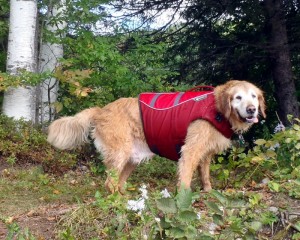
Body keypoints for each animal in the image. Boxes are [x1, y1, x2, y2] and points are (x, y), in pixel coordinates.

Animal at [48, 80, 266, 193]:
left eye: (253, 96)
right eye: (238, 97)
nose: (252, 110)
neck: (216, 109)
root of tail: (101, 110)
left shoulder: (205, 155)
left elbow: (205, 176)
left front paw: (208, 192)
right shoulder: (190, 151)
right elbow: (185, 179)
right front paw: (184, 200)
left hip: (131, 158)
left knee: (118, 183)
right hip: (120, 153)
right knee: (109, 183)